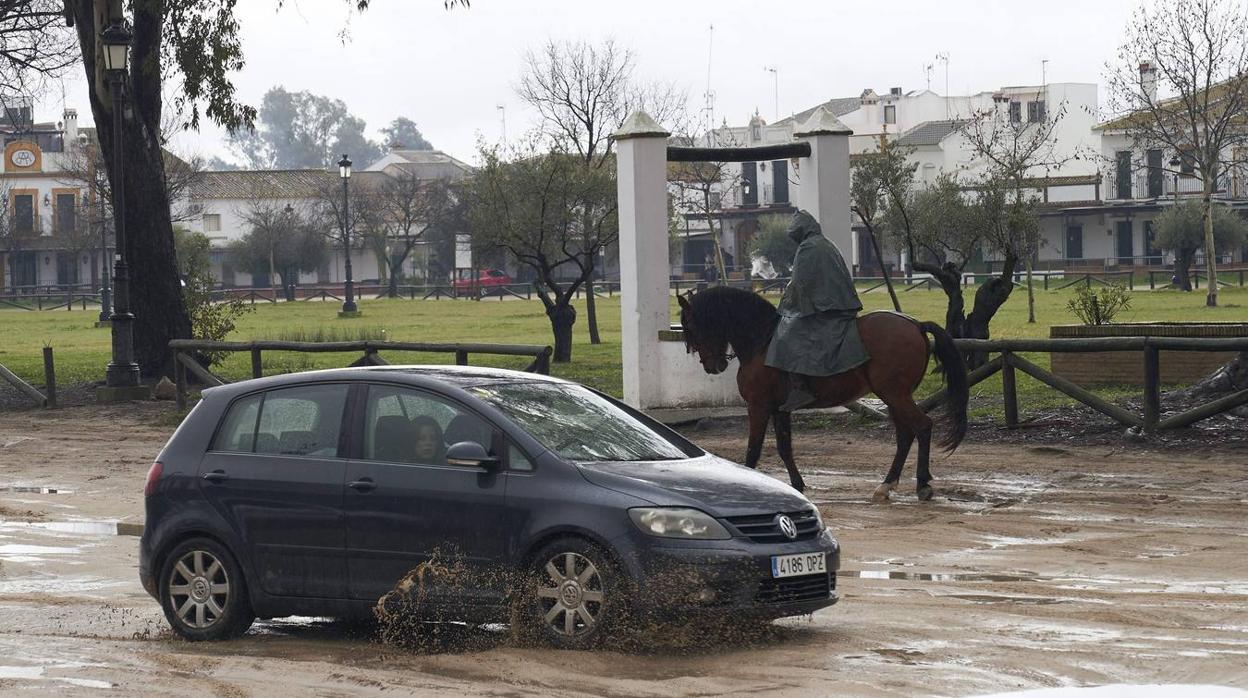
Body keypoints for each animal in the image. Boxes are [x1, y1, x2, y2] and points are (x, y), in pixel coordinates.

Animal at [678, 287, 968, 504]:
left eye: (689, 325)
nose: (712, 365)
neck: (762, 341)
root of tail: (915, 324)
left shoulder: (758, 407)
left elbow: (753, 450)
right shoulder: (779, 409)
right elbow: (784, 447)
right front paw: (797, 484)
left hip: (895, 394)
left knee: (922, 426)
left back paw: (922, 484)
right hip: (895, 396)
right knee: (906, 435)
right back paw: (887, 485)